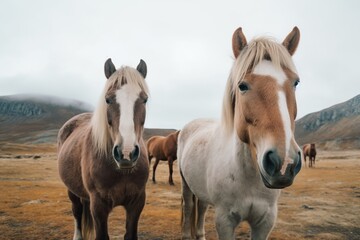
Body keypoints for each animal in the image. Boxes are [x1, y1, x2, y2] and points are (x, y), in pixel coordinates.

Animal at [57, 58, 149, 240]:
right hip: (71, 191)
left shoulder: (137, 202)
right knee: (77, 212)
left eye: (145, 99)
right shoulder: (98, 205)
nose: (126, 153)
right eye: (108, 99)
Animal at [179, 26, 302, 240]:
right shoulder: (225, 221)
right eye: (242, 86)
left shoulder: (265, 222)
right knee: (188, 207)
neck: (249, 178)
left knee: (201, 208)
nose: (284, 162)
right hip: (186, 184)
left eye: (296, 83)